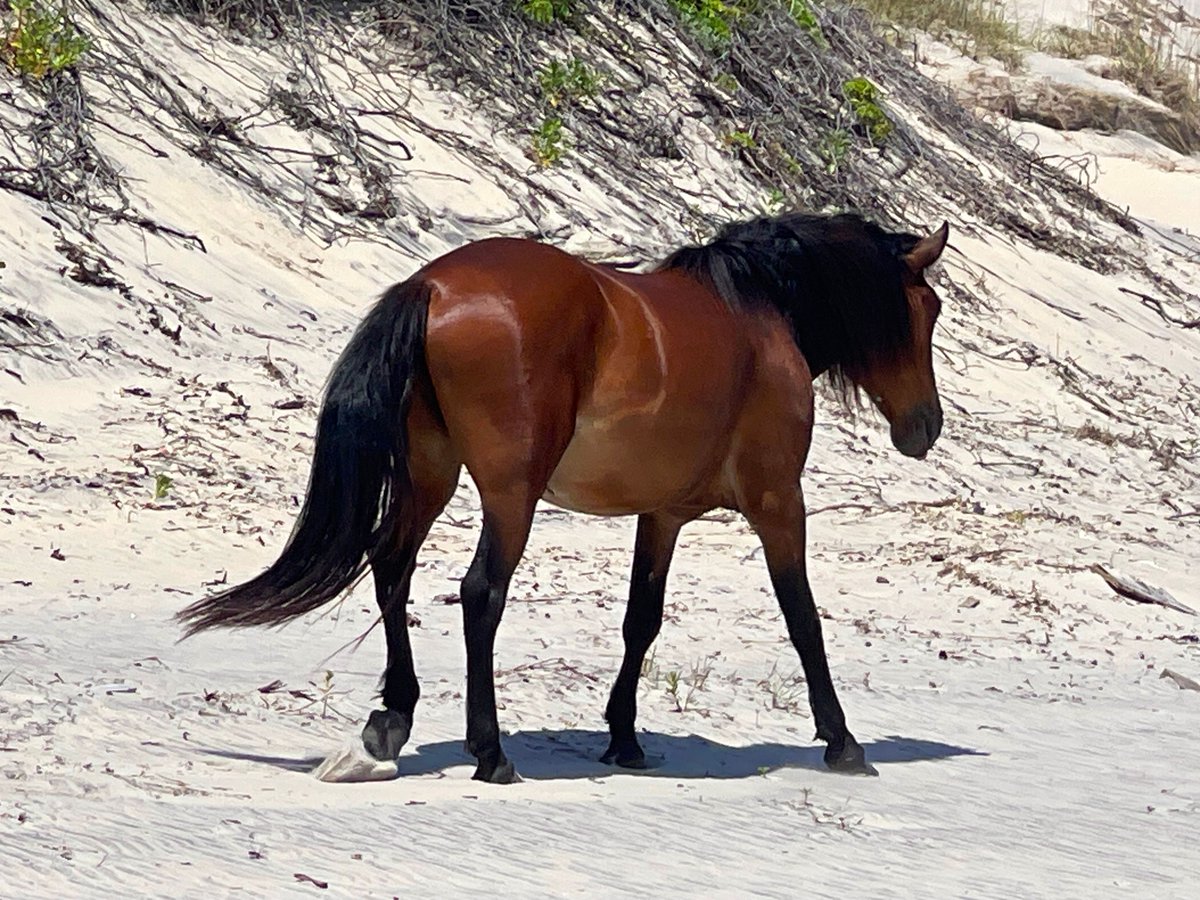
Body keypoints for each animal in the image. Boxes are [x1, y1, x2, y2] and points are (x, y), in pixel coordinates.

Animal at [177, 211, 949, 783]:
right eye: (930, 309)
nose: (927, 427)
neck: (759, 315)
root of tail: (433, 287)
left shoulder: (662, 515)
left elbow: (642, 621)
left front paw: (625, 738)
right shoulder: (778, 503)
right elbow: (803, 620)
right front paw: (842, 742)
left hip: (432, 476)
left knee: (392, 569)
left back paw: (389, 723)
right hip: (509, 494)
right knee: (480, 592)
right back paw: (489, 752)